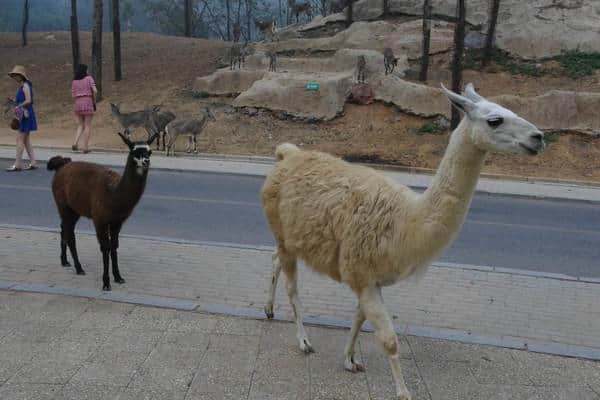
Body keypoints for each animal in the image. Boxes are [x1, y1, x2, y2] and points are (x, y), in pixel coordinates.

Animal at [47, 131, 159, 290]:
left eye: (150, 151)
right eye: (134, 152)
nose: (146, 161)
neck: (114, 195)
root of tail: (62, 165)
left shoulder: (117, 222)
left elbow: (114, 246)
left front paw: (118, 277)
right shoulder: (100, 219)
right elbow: (105, 248)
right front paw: (106, 283)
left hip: (74, 209)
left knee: (64, 229)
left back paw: (64, 261)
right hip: (63, 205)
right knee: (70, 234)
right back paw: (79, 268)